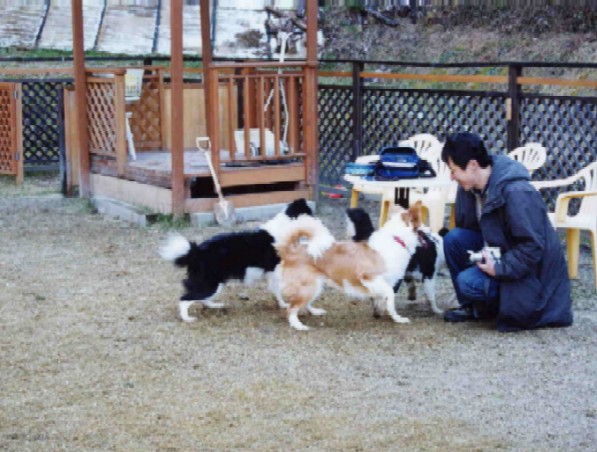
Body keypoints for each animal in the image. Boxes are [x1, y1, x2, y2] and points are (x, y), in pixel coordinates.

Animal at [159, 198, 313, 322]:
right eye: (311, 213)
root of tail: (196, 251)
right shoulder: (275, 271)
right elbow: (278, 290)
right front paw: (284, 304)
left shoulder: (271, 273)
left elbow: (275, 290)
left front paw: (281, 303)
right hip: (209, 284)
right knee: (185, 299)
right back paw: (187, 318)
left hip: (215, 283)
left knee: (201, 298)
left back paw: (215, 305)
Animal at [274, 204, 422, 330]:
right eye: (421, 225)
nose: (428, 231)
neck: (396, 239)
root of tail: (291, 250)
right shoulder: (370, 277)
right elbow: (390, 298)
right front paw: (398, 318)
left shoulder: (383, 283)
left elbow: (383, 300)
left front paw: (381, 312)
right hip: (309, 286)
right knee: (291, 309)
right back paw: (298, 326)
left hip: (314, 286)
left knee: (303, 303)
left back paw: (315, 311)